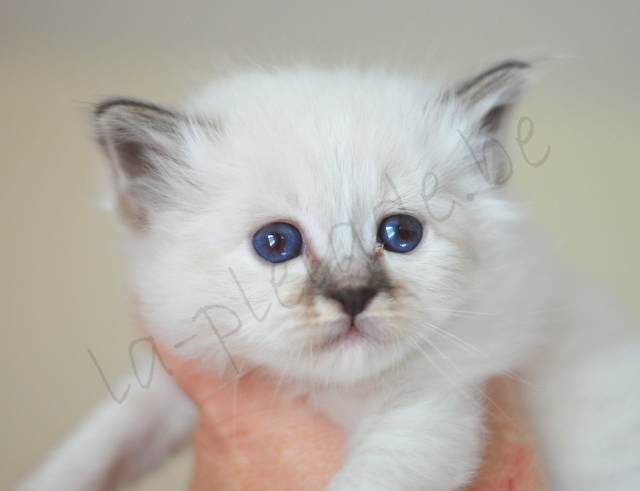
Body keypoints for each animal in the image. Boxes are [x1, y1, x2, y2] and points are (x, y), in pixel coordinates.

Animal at [17, 61, 640, 491]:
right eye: (277, 244)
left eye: (401, 234)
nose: (353, 296)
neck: (329, 393)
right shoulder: (182, 375)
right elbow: (103, 436)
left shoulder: (431, 411)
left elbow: (367, 479)